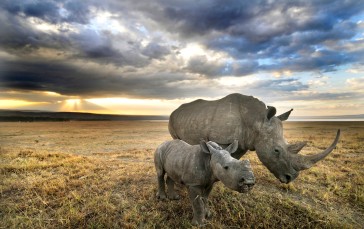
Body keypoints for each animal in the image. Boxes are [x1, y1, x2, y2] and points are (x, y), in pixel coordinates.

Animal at [169, 92, 340, 183]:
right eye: (276, 151)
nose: (291, 178)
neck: (256, 120)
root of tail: (175, 110)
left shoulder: (243, 142)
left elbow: (233, 159)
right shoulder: (222, 139)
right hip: (172, 118)